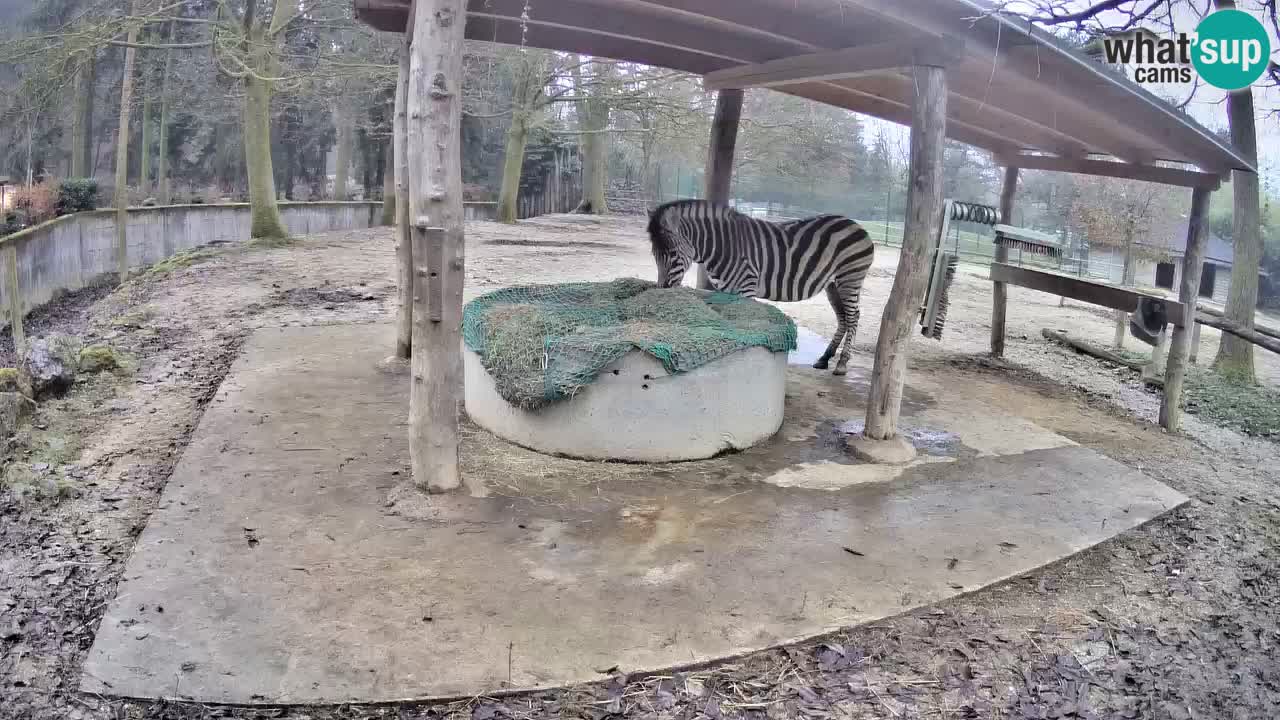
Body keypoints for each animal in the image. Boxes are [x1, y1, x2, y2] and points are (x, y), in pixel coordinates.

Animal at [646, 199, 875, 376]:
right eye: (654, 254)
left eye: (672, 253)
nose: (662, 290)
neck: (723, 246)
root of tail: (855, 224)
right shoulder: (725, 291)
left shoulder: (745, 289)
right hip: (832, 284)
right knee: (843, 317)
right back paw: (825, 358)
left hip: (850, 278)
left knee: (853, 316)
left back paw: (842, 363)